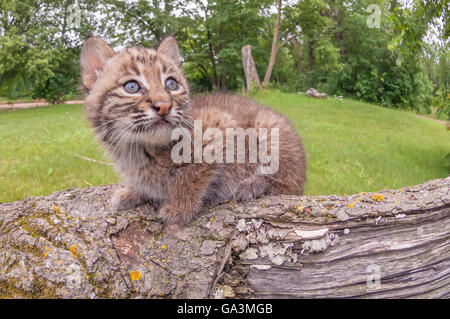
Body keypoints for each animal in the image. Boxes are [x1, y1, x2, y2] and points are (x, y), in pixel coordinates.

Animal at [80, 35, 306, 225]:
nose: (164, 106)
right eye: (132, 87)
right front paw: (132, 192)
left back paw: (254, 183)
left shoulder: (220, 126)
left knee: (292, 187)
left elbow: (191, 174)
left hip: (268, 126)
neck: (138, 147)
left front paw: (179, 208)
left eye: (171, 84)